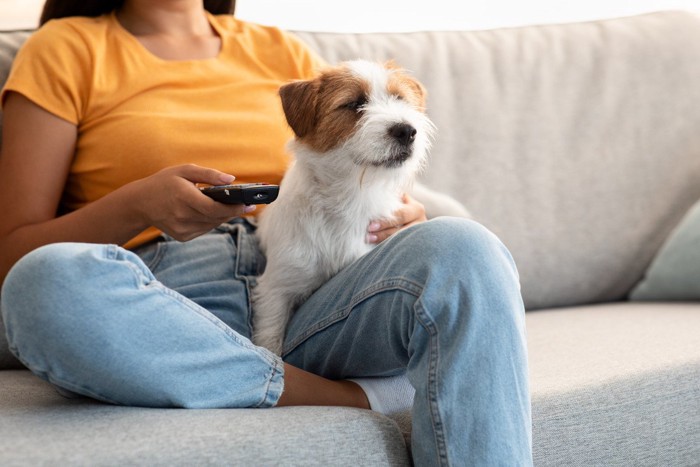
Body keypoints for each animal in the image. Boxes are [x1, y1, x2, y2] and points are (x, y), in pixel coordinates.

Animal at [252, 60, 434, 356]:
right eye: (355, 104)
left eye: (399, 99)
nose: (407, 130)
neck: (350, 196)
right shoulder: (277, 290)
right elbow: (270, 340)